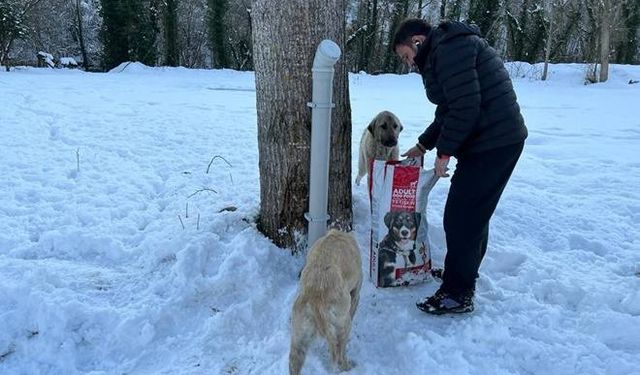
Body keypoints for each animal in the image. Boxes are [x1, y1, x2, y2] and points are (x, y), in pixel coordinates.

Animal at [288, 231, 362, 374]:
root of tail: (316, 300)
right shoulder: (356, 293)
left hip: (298, 341)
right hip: (343, 325)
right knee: (339, 356)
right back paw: (348, 366)